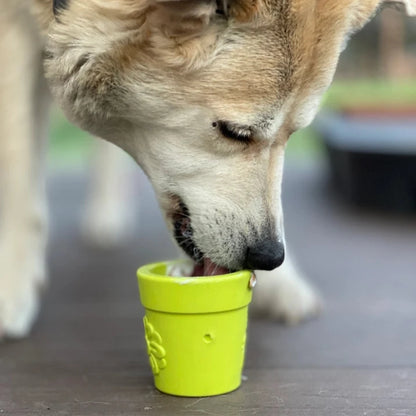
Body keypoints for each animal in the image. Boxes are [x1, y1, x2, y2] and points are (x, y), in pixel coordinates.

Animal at [0, 0, 412, 338]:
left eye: (293, 134)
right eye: (235, 132)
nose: (269, 257)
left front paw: (282, 281)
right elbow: (19, 174)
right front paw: (13, 287)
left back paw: (107, 214)